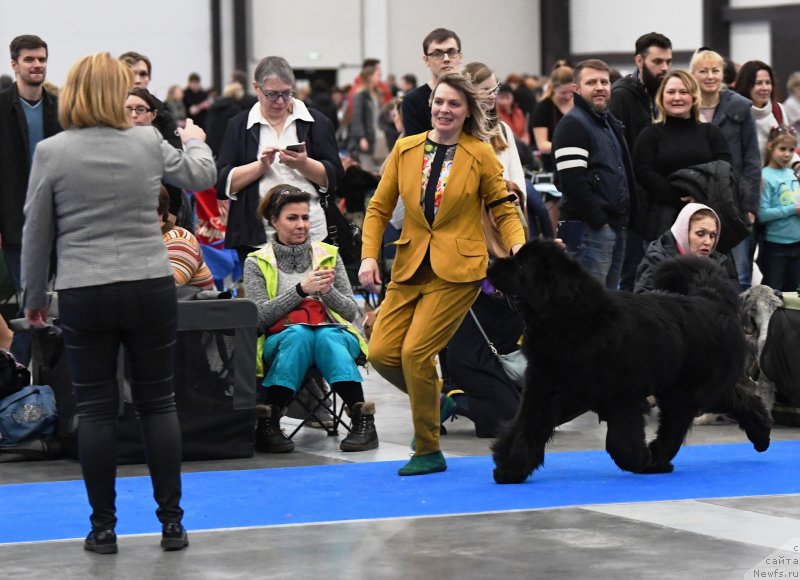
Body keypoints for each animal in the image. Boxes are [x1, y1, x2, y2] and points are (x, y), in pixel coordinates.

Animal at [488, 240, 776, 484]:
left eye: (522, 265)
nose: (491, 264)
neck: (568, 322)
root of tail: (710, 299)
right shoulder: (545, 390)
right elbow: (527, 429)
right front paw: (511, 468)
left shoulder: (623, 395)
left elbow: (621, 440)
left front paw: (637, 460)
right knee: (738, 400)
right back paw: (759, 435)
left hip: (688, 391)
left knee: (679, 426)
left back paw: (657, 461)